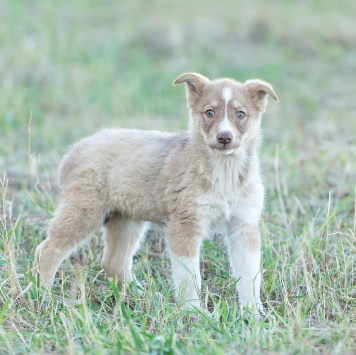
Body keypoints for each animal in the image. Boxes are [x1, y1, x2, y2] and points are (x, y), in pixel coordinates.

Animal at [34, 73, 278, 318]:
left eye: (241, 114)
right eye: (209, 112)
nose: (224, 137)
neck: (225, 172)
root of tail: (75, 151)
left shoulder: (244, 225)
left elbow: (250, 275)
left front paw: (253, 314)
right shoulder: (185, 224)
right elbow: (189, 276)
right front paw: (193, 313)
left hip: (126, 220)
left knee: (114, 262)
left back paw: (142, 296)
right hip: (83, 212)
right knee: (47, 250)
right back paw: (44, 298)